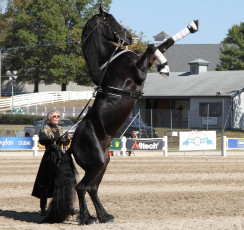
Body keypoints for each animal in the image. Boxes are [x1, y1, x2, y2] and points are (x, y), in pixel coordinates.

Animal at [44, 6, 199, 226]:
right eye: (110, 21)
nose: (129, 37)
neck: (108, 62)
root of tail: (70, 145)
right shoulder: (140, 71)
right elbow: (151, 47)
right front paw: (165, 68)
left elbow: (162, 45)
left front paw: (191, 27)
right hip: (96, 164)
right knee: (81, 188)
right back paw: (88, 218)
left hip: (103, 162)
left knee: (91, 188)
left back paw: (104, 215)